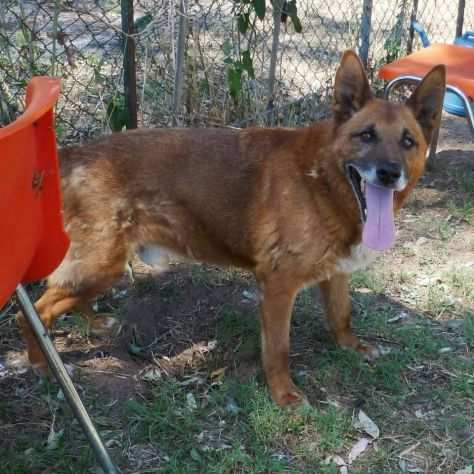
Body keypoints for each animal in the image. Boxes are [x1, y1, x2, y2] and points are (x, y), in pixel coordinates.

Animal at [15, 51, 444, 408]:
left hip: (102, 268)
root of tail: (73, 153)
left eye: (408, 141)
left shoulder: (335, 273)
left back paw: (92, 322)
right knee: (34, 312)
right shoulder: (277, 286)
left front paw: (351, 347)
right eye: (366, 135)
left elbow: (342, 315)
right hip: (100, 265)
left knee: (62, 298)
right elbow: (279, 349)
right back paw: (40, 363)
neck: (321, 178)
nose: (389, 174)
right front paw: (283, 394)